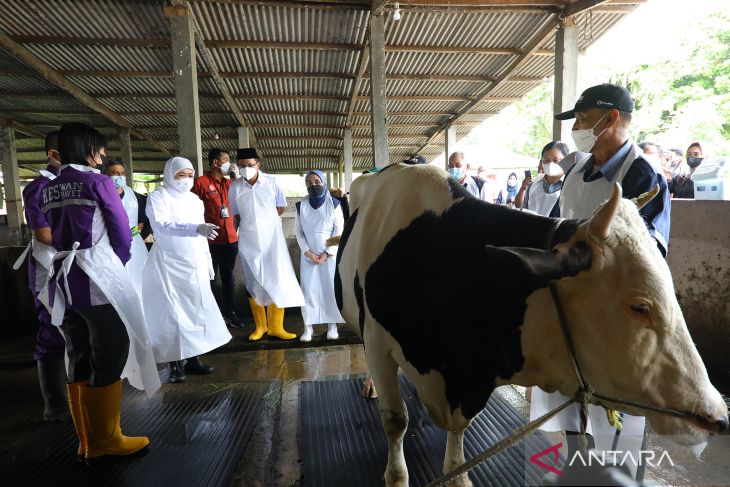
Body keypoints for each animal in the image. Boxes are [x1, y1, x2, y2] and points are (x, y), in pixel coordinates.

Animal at [332, 164, 724, 487]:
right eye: (639, 306)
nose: (717, 416)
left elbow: (459, 438)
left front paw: (457, 474)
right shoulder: (379, 344)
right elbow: (395, 421)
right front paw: (396, 474)